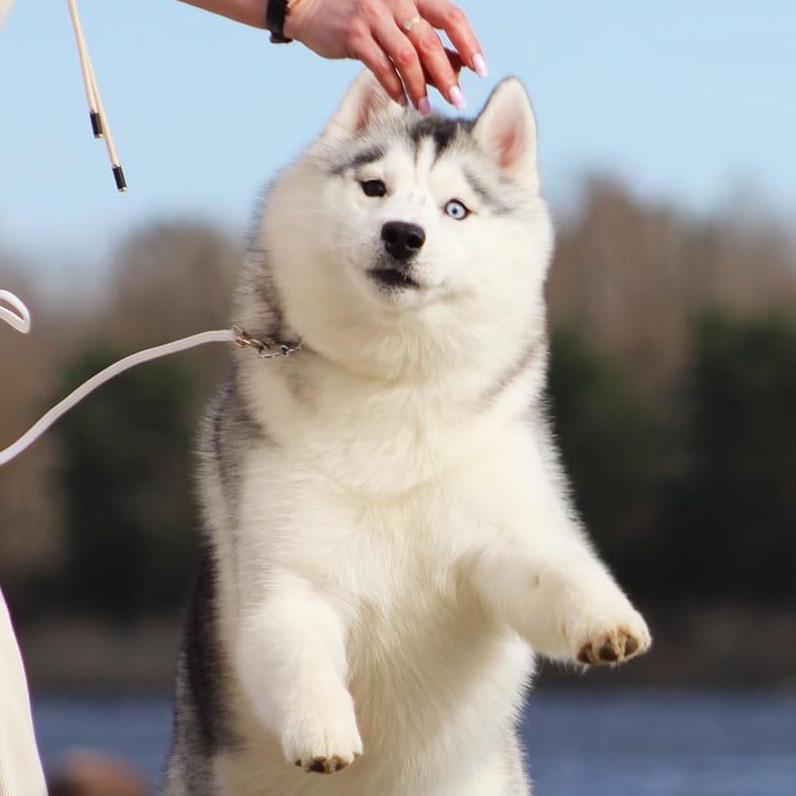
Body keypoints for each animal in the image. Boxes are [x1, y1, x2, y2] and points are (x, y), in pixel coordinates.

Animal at [163, 74, 652, 796]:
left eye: (456, 209)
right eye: (375, 188)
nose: (403, 234)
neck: (393, 379)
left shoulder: (501, 534)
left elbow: (553, 568)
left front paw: (606, 618)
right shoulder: (286, 575)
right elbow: (297, 646)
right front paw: (323, 730)